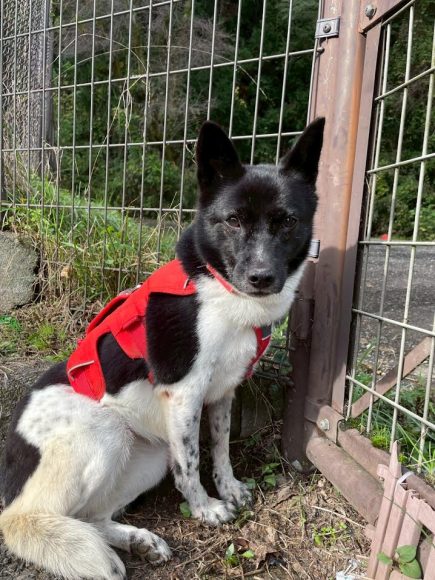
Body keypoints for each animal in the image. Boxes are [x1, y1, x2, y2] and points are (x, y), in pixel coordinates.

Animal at [0, 118, 324, 579]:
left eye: (288, 221)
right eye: (232, 220)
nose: (262, 277)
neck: (219, 290)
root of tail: (13, 493)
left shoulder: (222, 393)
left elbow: (220, 447)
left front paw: (229, 488)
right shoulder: (185, 392)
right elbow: (190, 463)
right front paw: (206, 508)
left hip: (149, 455)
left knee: (90, 517)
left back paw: (139, 542)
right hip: (106, 431)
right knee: (53, 516)